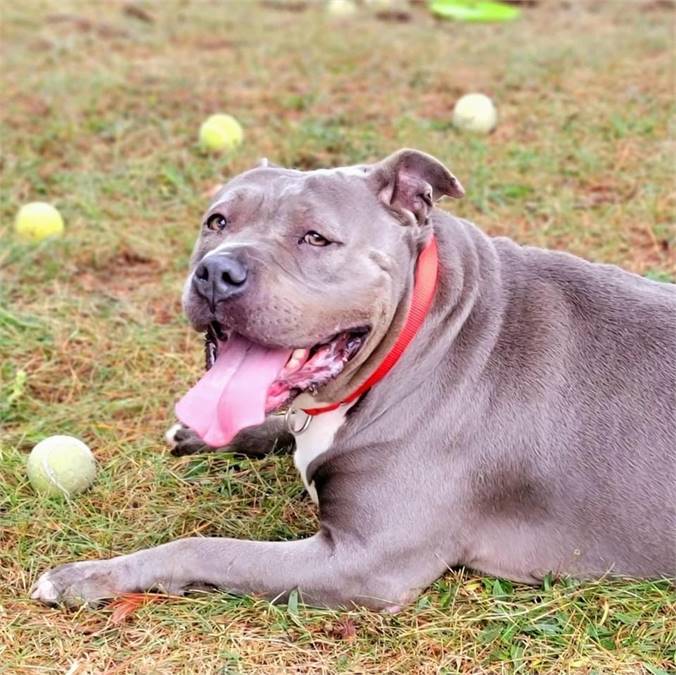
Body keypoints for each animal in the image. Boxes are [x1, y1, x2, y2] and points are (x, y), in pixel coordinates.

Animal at [33, 151, 676, 608]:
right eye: (217, 221)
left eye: (316, 238)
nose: (217, 271)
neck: (426, 335)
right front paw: (201, 433)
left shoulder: (362, 562)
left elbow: (206, 547)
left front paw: (90, 575)